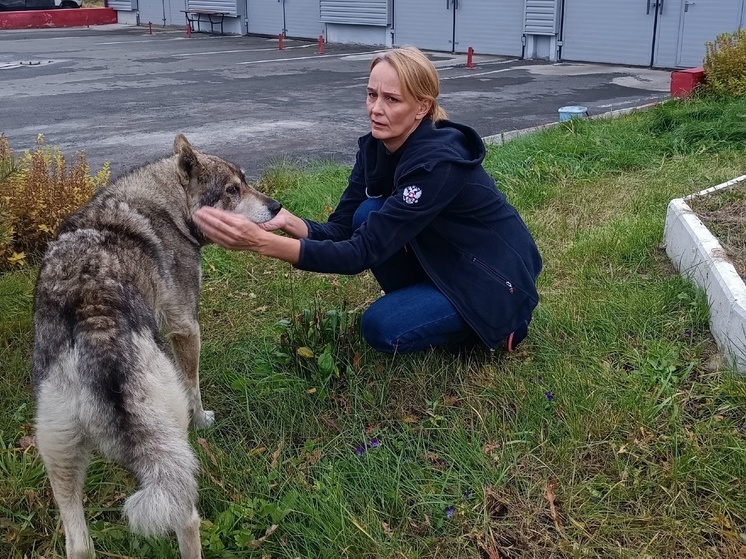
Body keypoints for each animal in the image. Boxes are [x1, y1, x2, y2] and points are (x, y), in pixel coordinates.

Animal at [32, 136, 282, 559]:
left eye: (245, 183)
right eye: (233, 190)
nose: (277, 207)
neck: (165, 204)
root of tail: (96, 330)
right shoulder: (185, 326)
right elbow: (194, 385)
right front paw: (204, 420)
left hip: (59, 458)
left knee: (79, 544)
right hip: (171, 451)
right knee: (187, 519)